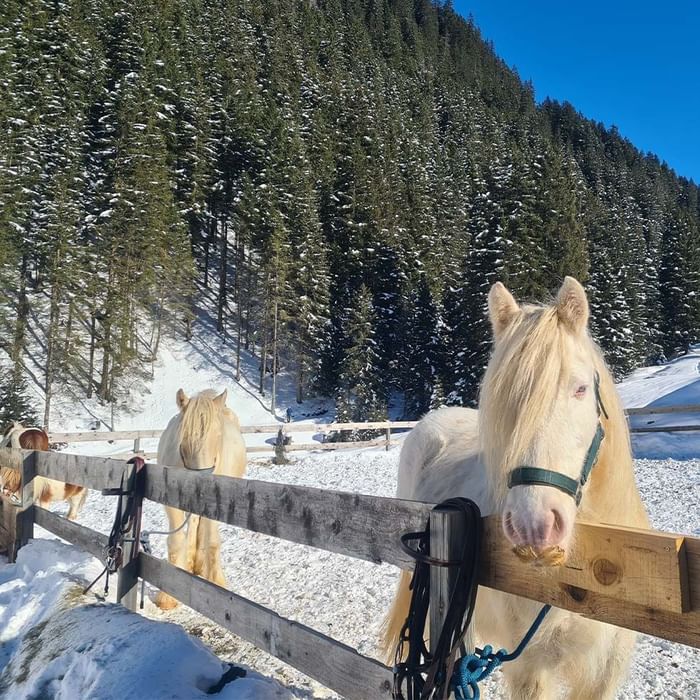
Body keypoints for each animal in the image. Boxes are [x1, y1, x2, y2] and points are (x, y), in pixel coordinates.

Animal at [154, 388, 247, 610]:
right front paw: (167, 596)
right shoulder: (172, 504)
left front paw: (216, 582)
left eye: (218, 435)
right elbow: (176, 540)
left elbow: (212, 541)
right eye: (185, 437)